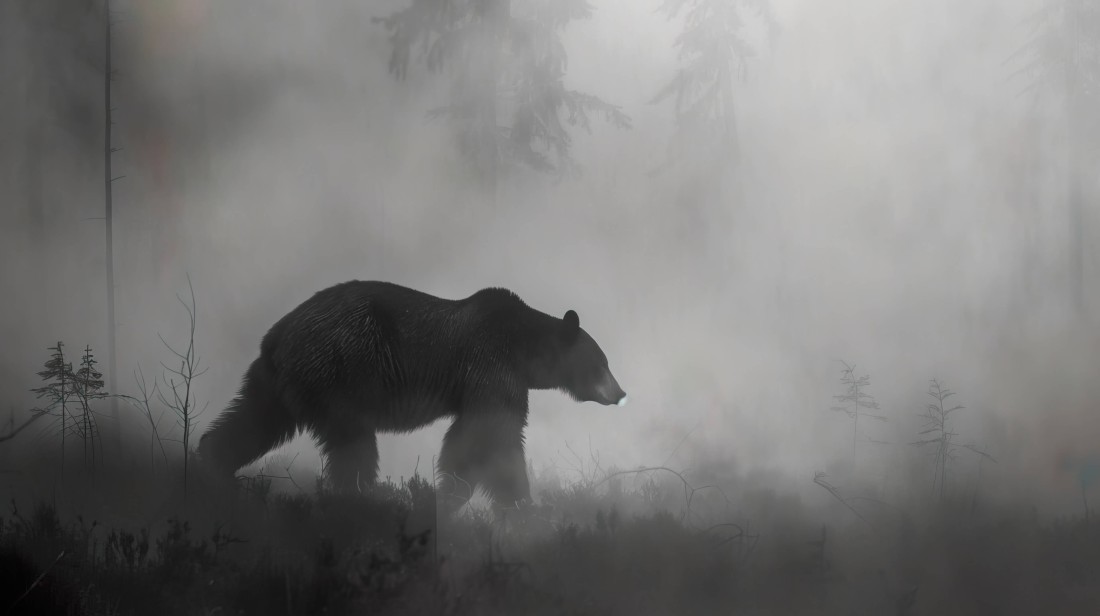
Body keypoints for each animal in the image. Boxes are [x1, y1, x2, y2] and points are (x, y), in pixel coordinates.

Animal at [197, 280, 627, 510]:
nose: (621, 392)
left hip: (278, 382)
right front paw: (514, 503)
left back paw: (213, 467)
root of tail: (277, 336)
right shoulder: (491, 362)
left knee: (252, 420)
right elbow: (493, 434)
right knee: (352, 445)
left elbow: (471, 439)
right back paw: (361, 497)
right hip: (340, 370)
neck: (524, 347)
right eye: (602, 362)